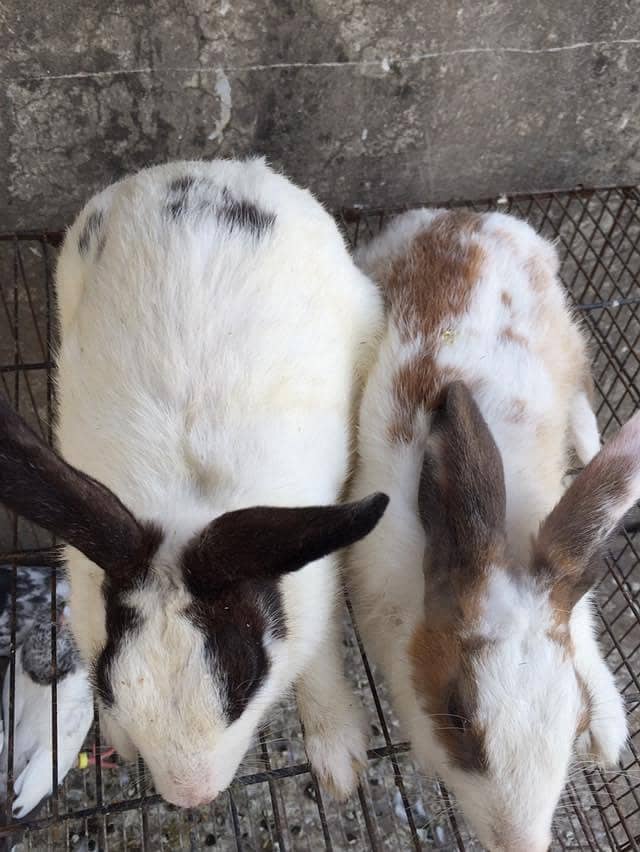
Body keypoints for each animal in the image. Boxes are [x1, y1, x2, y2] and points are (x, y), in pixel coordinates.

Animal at [346, 208, 632, 852]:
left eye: (575, 719)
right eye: (456, 716)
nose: (521, 841)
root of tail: (466, 217)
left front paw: (609, 735)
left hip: (569, 339)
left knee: (582, 397)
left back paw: (597, 449)